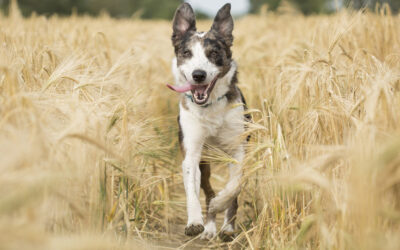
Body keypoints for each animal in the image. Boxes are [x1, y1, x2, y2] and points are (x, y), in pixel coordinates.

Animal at [166, 2, 250, 242]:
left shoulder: (238, 150)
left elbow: (234, 186)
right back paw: (210, 227)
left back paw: (227, 227)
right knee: (207, 189)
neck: (210, 107)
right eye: (186, 53)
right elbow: (192, 190)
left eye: (213, 53)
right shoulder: (192, 153)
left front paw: (220, 204)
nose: (198, 75)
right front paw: (195, 222)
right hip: (205, 163)